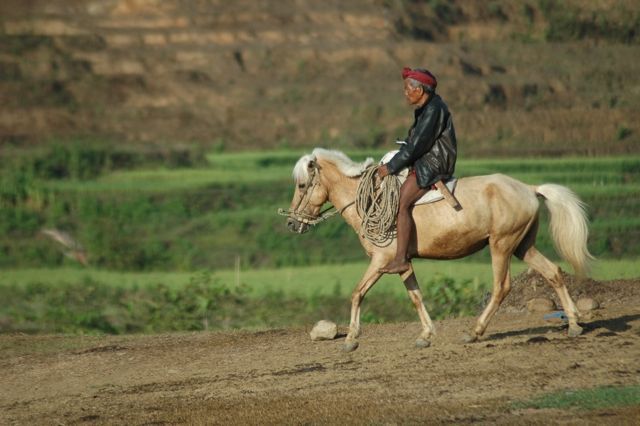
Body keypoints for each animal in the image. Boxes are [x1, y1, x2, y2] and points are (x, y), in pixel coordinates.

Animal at [282, 148, 592, 352]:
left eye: (302, 184)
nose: (292, 223)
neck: (369, 201)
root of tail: (529, 188)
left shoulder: (381, 261)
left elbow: (357, 293)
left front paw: (350, 339)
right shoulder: (404, 263)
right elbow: (416, 297)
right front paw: (426, 334)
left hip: (501, 246)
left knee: (501, 287)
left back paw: (475, 332)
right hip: (522, 246)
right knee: (553, 272)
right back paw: (574, 324)